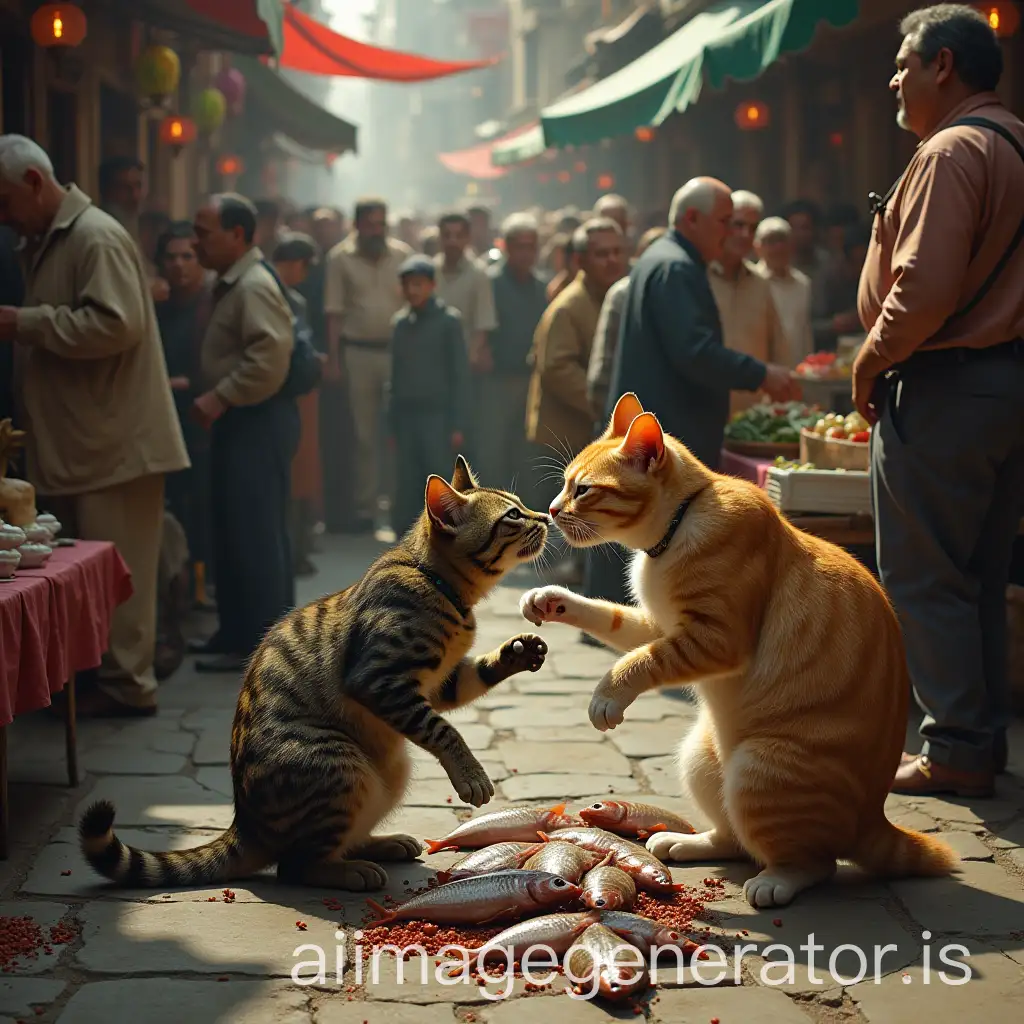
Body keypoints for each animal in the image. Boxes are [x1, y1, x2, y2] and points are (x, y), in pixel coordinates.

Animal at [79, 460, 552, 892]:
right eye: (512, 515)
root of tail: (244, 825)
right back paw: (352, 871)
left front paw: (519, 651)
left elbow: (473, 679)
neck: (438, 582)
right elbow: (444, 731)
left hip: (387, 773)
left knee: (333, 842)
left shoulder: (435, 683)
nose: (546, 516)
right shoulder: (381, 678)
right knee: (295, 865)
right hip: (340, 766)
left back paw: (382, 844)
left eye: (522, 506)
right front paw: (471, 776)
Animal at [524, 395, 954, 909]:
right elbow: (611, 621)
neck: (676, 528)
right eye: (564, 484)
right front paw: (549, 600)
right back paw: (686, 842)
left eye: (583, 489)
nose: (551, 510)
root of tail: (874, 819)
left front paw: (607, 696)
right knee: (734, 837)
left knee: (814, 861)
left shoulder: (714, 639)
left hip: (759, 768)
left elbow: (638, 660)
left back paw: (775, 881)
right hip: (702, 757)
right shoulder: (659, 625)